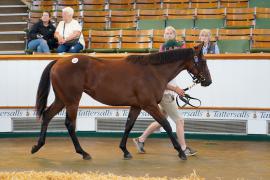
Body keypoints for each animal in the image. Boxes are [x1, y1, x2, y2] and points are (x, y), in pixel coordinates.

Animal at [31, 43, 212, 160]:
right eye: (203, 61)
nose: (208, 81)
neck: (153, 71)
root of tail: (59, 61)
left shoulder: (137, 106)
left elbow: (128, 126)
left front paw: (125, 150)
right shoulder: (149, 105)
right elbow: (166, 124)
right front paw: (180, 152)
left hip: (62, 99)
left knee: (47, 115)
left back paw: (37, 146)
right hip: (72, 101)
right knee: (69, 124)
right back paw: (83, 153)